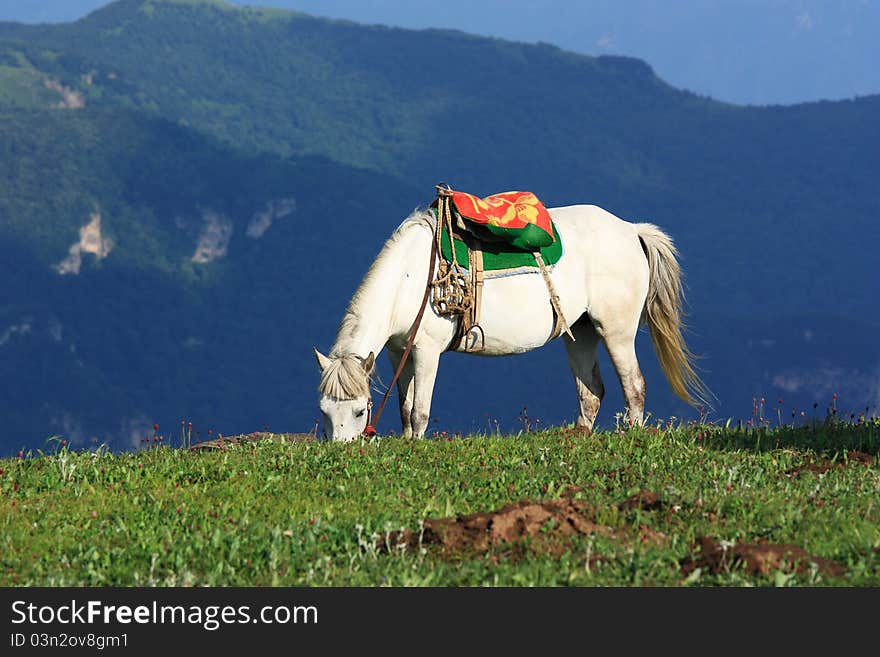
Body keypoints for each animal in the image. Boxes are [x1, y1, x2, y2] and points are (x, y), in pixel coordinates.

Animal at [312, 205, 704, 440]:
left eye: (360, 411)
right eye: (324, 411)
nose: (342, 452)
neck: (412, 278)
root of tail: (631, 230)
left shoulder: (427, 351)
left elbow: (420, 409)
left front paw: (415, 445)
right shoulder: (398, 353)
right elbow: (405, 408)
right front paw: (406, 441)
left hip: (616, 331)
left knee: (634, 385)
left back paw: (630, 435)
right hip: (580, 331)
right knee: (591, 391)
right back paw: (578, 436)